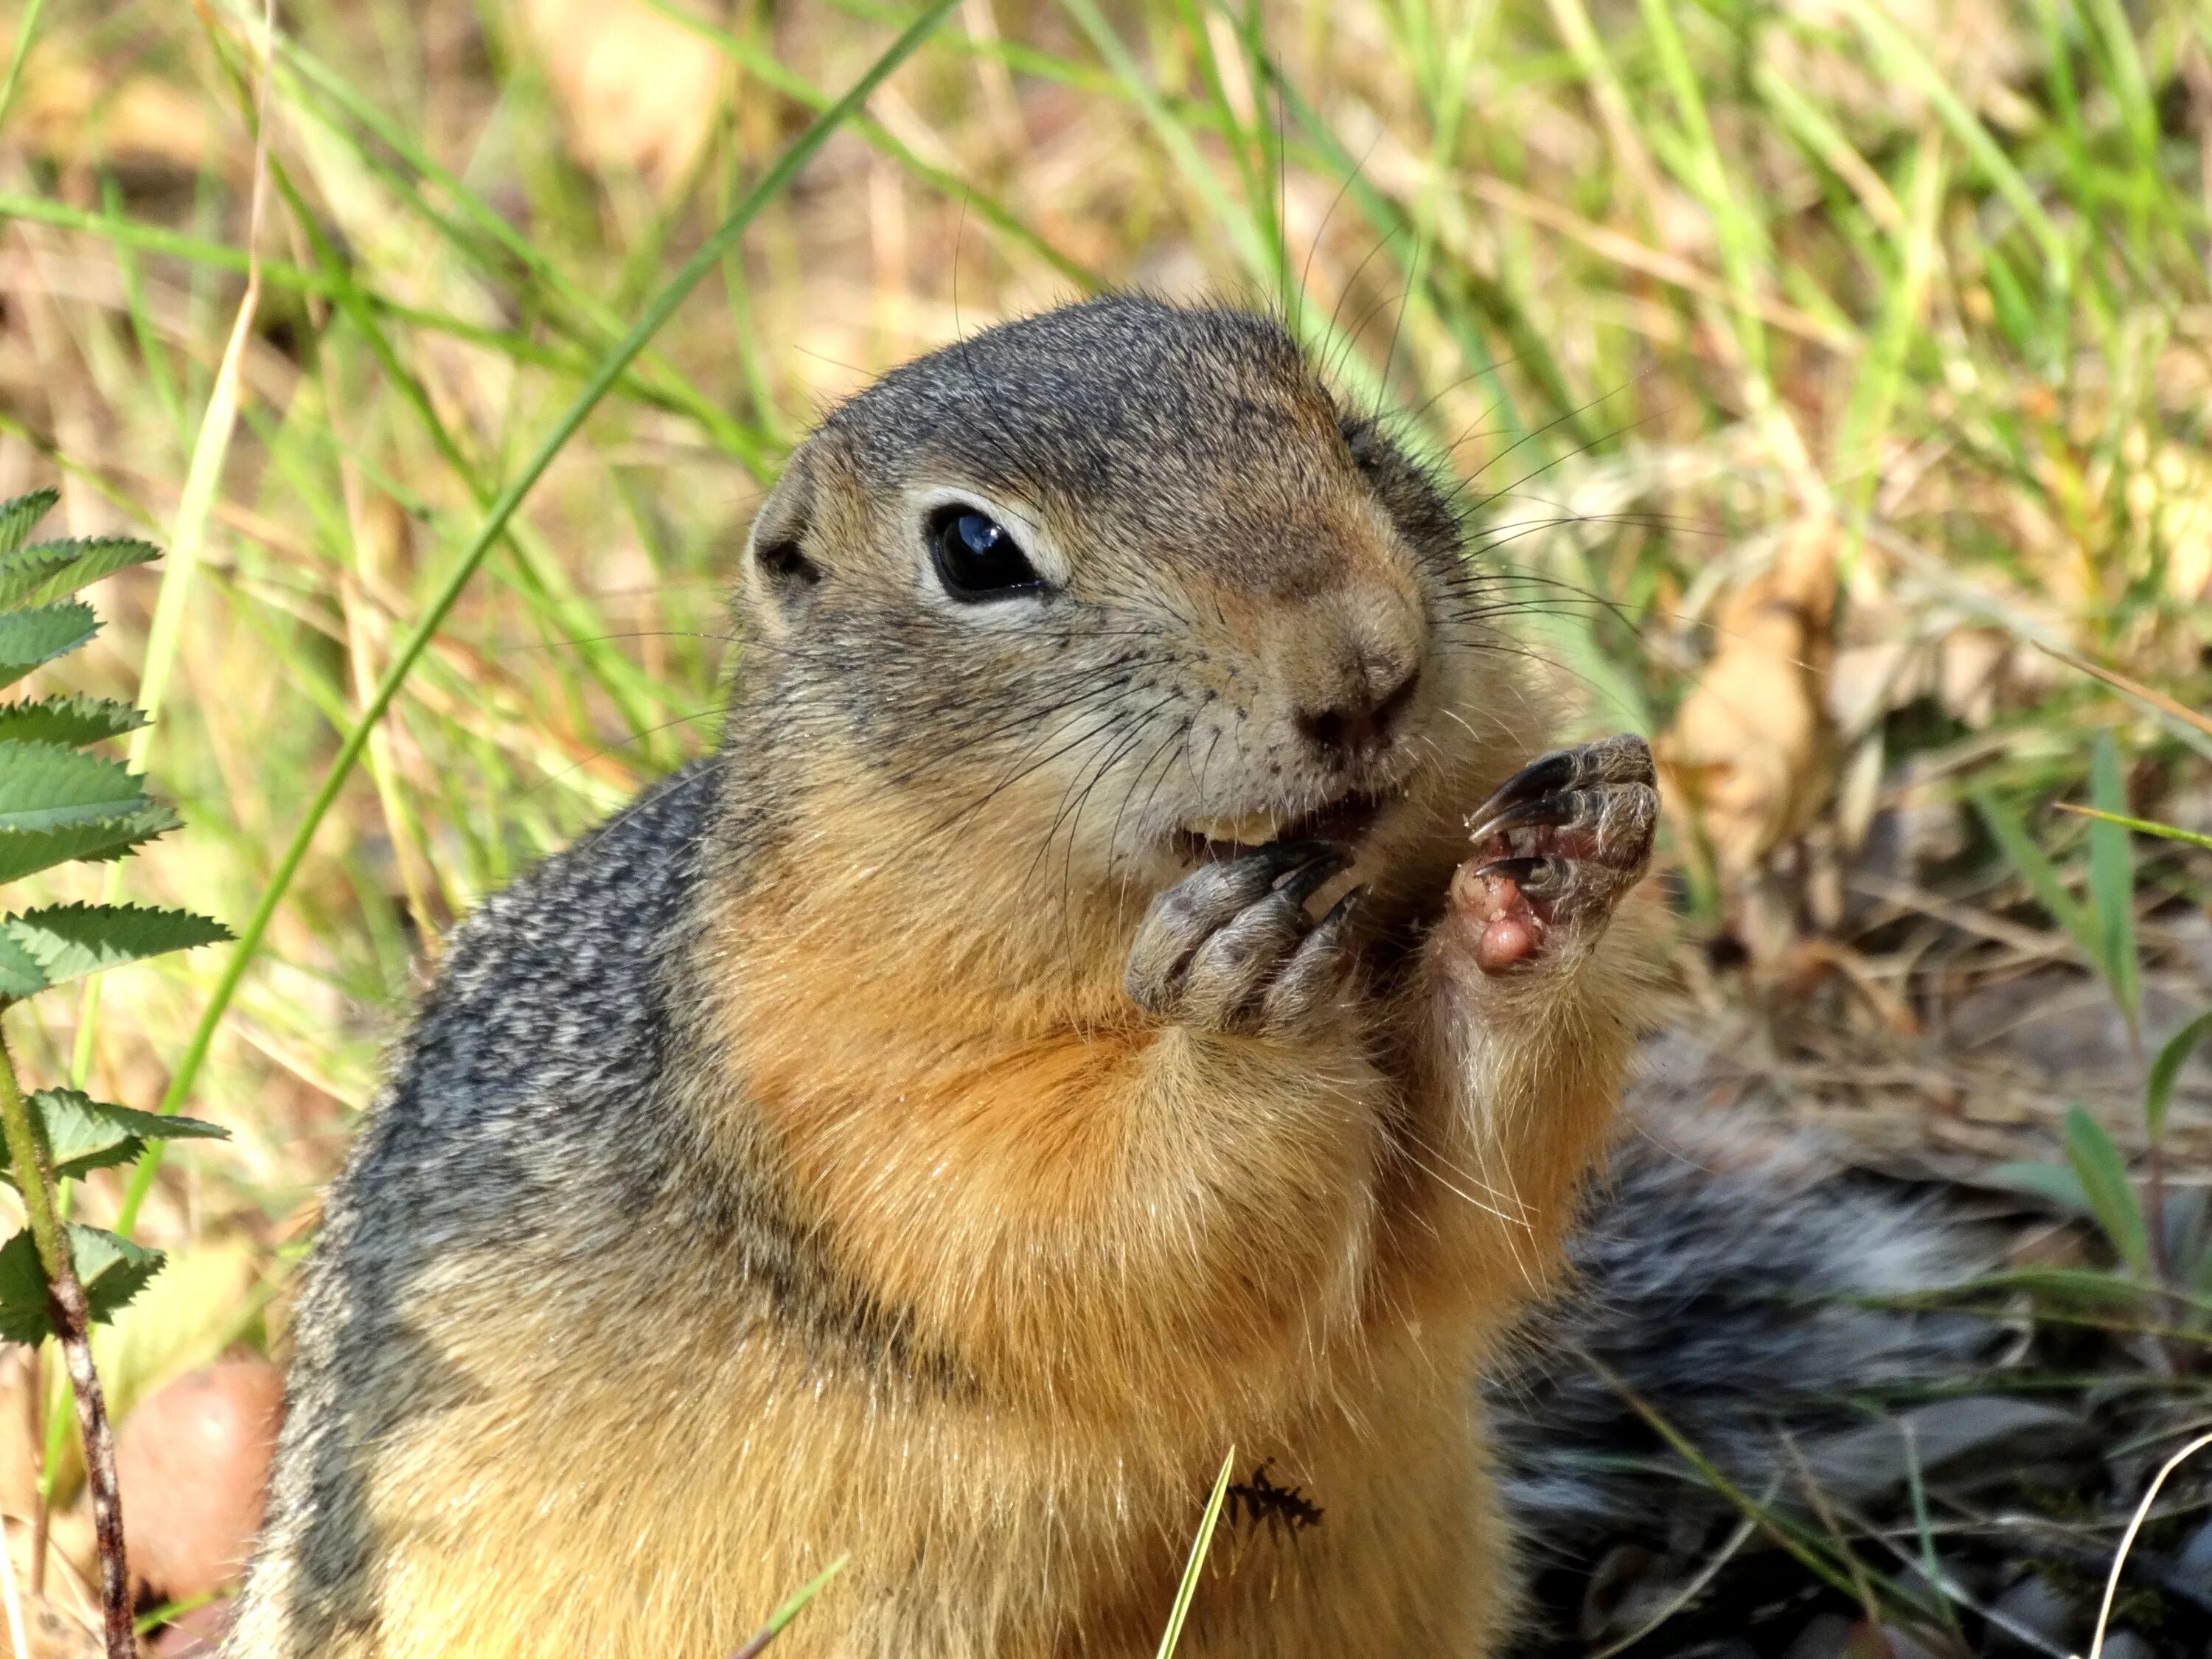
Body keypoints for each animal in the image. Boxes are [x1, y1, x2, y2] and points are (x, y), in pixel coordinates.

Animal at [229, 299, 1672, 1659]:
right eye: (975, 551)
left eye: (1342, 425)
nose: (1366, 666)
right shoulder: (837, 1098)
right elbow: (1073, 1229)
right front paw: (1238, 1005)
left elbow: (1463, 1212)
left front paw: (1541, 882)